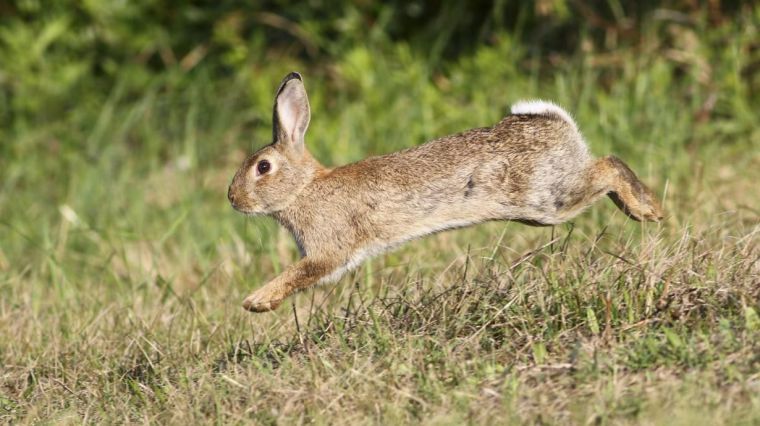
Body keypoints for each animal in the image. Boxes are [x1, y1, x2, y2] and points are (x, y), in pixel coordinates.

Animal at [226, 71, 660, 312]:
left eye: (263, 168)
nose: (232, 199)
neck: (303, 188)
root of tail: (556, 123)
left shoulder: (327, 249)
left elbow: (300, 273)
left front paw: (256, 301)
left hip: (547, 200)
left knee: (608, 166)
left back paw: (646, 209)